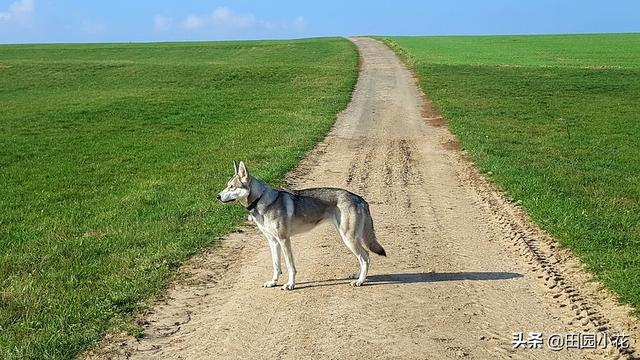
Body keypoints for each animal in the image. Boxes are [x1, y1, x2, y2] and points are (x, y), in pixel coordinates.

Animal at [215, 160, 384, 290]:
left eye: (232, 187)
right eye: (227, 185)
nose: (217, 196)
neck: (262, 200)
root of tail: (359, 198)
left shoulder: (284, 240)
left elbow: (290, 266)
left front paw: (290, 285)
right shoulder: (273, 242)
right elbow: (276, 266)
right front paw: (273, 282)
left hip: (348, 238)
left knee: (365, 257)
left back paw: (360, 281)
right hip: (348, 238)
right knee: (365, 256)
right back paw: (358, 275)